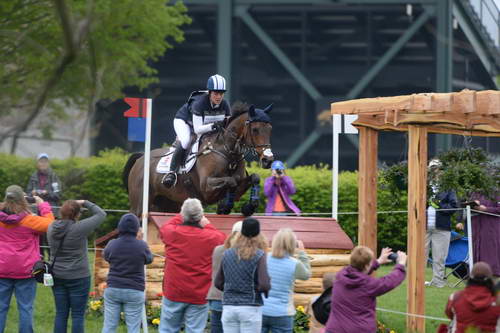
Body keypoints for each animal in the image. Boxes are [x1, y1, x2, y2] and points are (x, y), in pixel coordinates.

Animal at [123, 103, 276, 215]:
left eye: (270, 128)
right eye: (255, 129)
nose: (268, 160)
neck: (227, 151)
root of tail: (141, 158)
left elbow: (254, 178)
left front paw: (249, 207)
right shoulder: (206, 187)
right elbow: (231, 181)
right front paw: (224, 206)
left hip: (167, 204)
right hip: (140, 205)